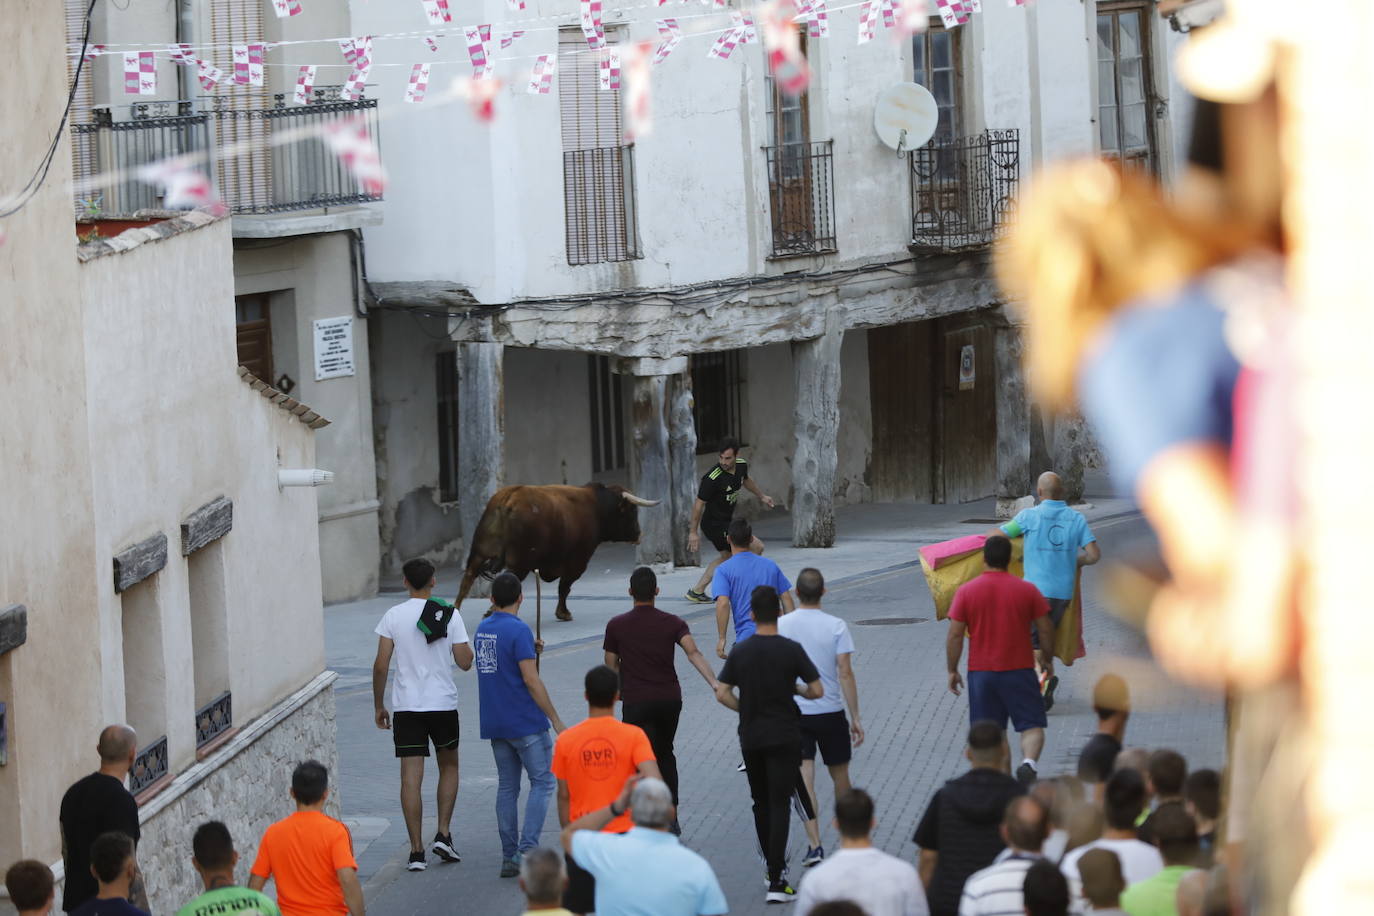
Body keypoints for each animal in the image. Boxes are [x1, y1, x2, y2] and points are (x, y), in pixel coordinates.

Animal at [453, 480, 662, 623]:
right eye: (632, 512)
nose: (639, 535)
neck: (596, 506)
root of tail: (510, 496)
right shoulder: (578, 561)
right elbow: (565, 587)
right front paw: (563, 612)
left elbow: (564, 587)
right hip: (519, 562)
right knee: (508, 579)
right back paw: (490, 610)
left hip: (480, 552)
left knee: (467, 580)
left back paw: (456, 612)